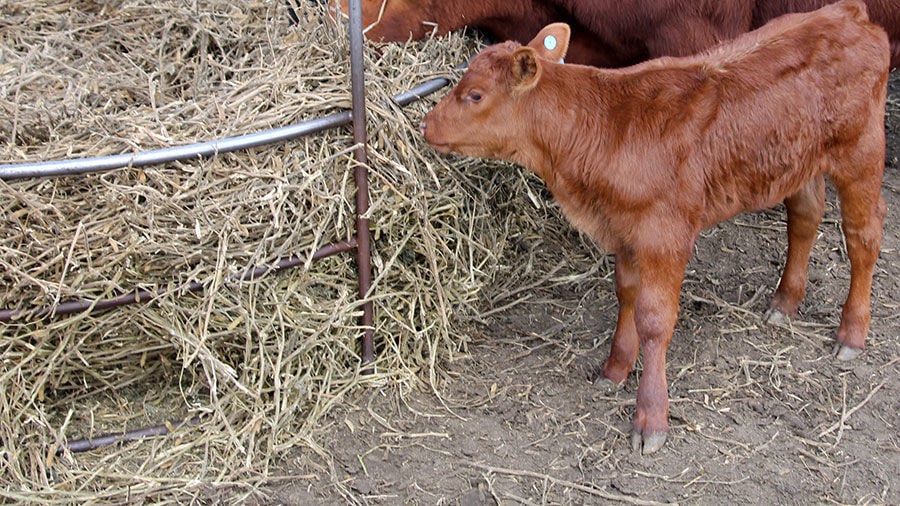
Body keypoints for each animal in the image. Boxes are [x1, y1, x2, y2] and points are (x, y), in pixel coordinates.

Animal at [419, 1, 889, 453]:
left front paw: (651, 418)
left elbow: (654, 319)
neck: (606, 127)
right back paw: (785, 301)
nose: (426, 124)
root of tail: (848, 14)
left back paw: (851, 333)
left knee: (863, 235)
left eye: (475, 95)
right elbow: (626, 294)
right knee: (806, 215)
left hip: (860, 152)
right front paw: (615, 367)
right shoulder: (624, 229)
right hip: (799, 158)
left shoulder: (666, 233)